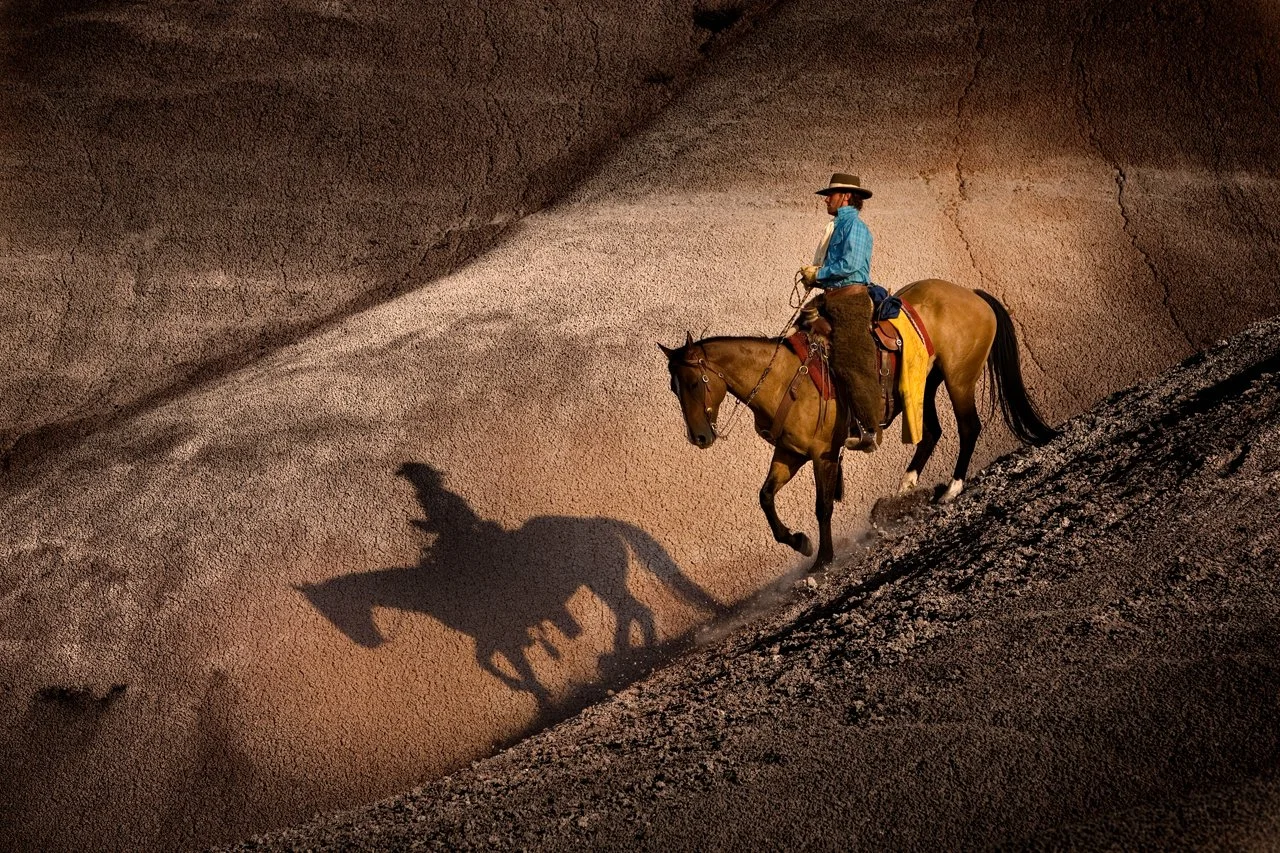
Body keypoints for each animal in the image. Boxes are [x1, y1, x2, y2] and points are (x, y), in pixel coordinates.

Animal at [659, 279, 1057, 571]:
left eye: (693, 383)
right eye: (673, 387)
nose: (699, 437)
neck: (784, 378)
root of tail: (971, 294)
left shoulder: (823, 454)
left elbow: (822, 506)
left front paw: (823, 558)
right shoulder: (790, 452)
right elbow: (765, 496)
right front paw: (799, 542)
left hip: (959, 378)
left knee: (969, 428)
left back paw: (952, 489)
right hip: (923, 384)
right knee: (931, 432)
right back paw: (903, 489)